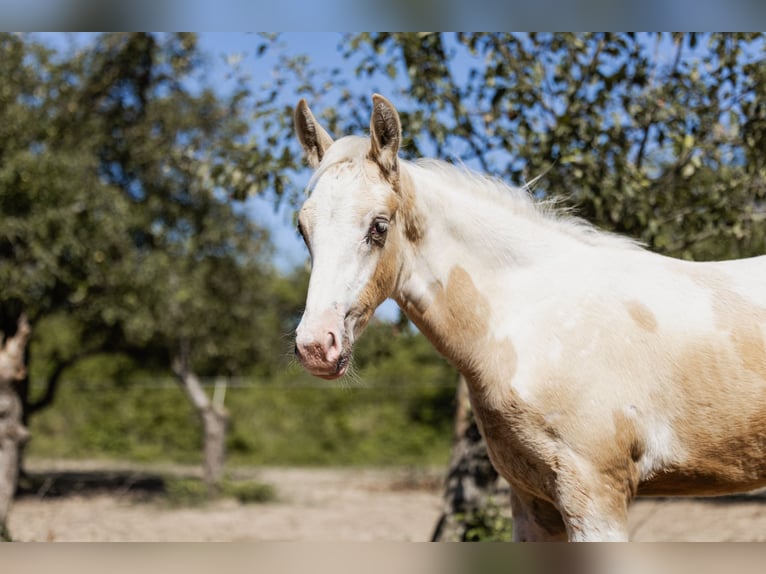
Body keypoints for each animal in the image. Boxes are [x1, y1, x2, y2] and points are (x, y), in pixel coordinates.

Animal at [290, 92, 766, 544]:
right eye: (302, 228)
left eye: (379, 226)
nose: (316, 345)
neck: (537, 322)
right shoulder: (533, 501)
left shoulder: (597, 497)